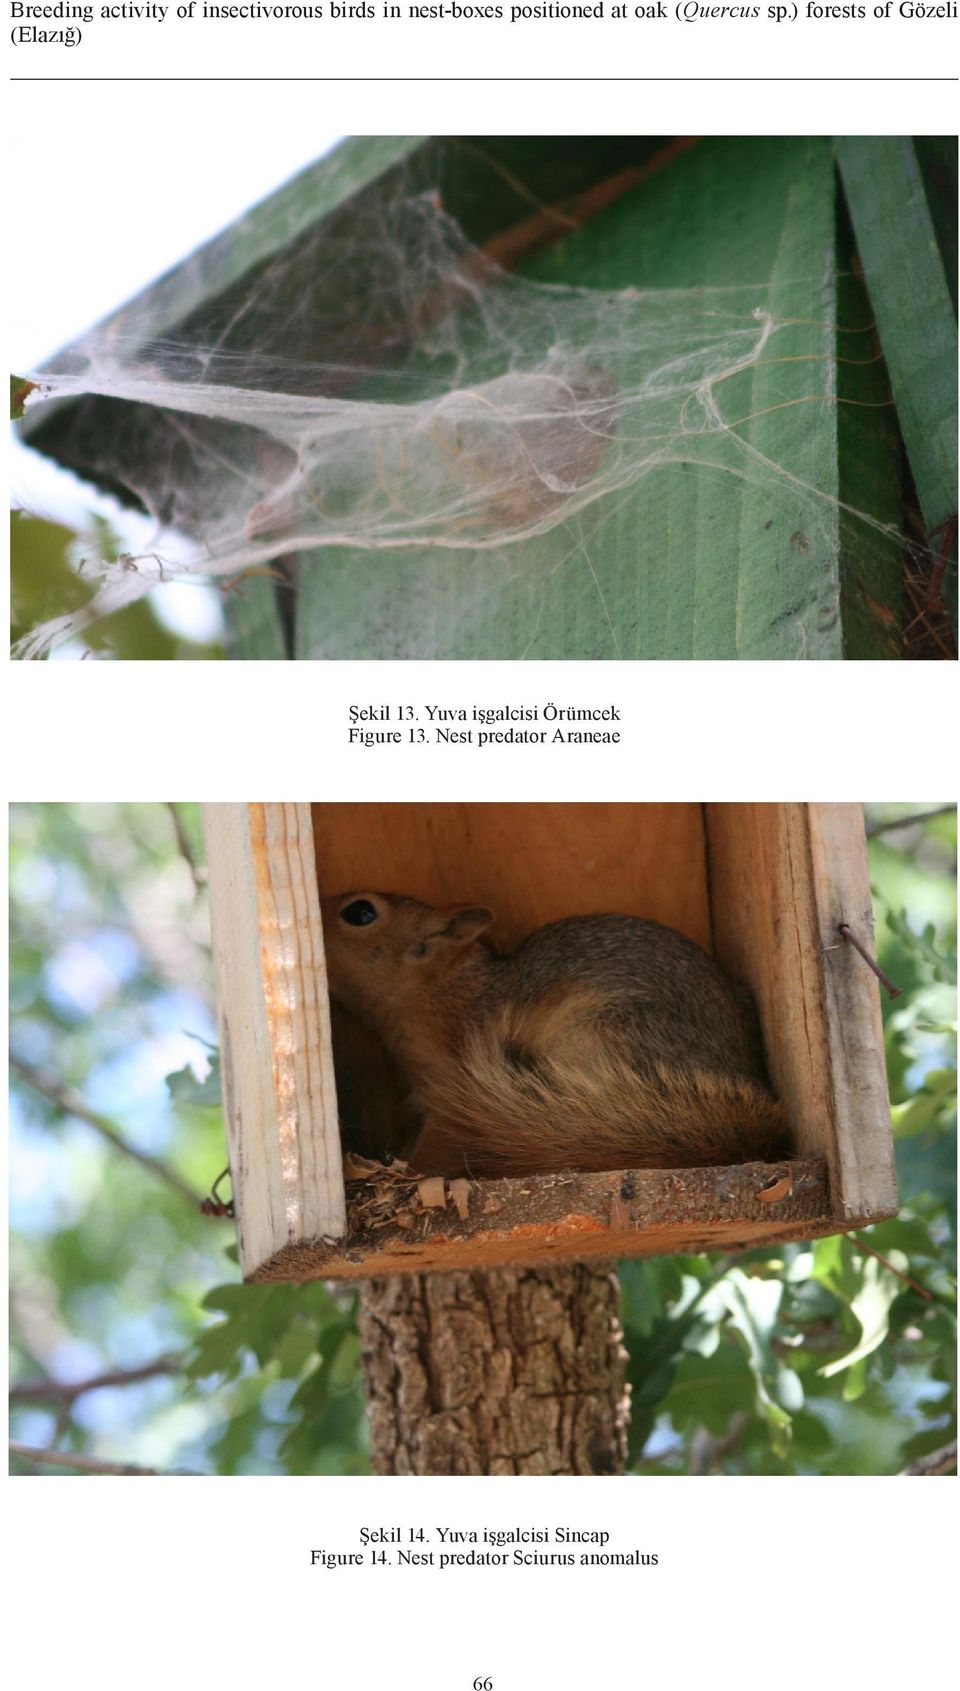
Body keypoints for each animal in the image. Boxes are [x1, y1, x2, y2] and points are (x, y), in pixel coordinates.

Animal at [322, 892, 787, 1183]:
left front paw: (403, 1171)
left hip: (599, 1035)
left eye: (361, 912)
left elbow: (438, 1141)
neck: (445, 993)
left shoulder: (455, 1080)